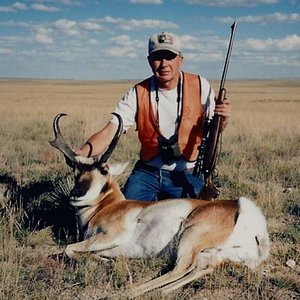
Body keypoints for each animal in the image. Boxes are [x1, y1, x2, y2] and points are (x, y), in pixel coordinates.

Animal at [48, 113, 270, 298]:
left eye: (103, 170)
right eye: (75, 170)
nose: (76, 194)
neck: (108, 205)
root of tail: (241, 209)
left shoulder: (110, 236)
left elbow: (68, 248)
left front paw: (107, 263)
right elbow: (77, 252)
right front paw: (106, 261)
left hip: (189, 236)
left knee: (181, 267)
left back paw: (130, 290)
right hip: (212, 255)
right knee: (200, 268)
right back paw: (155, 291)